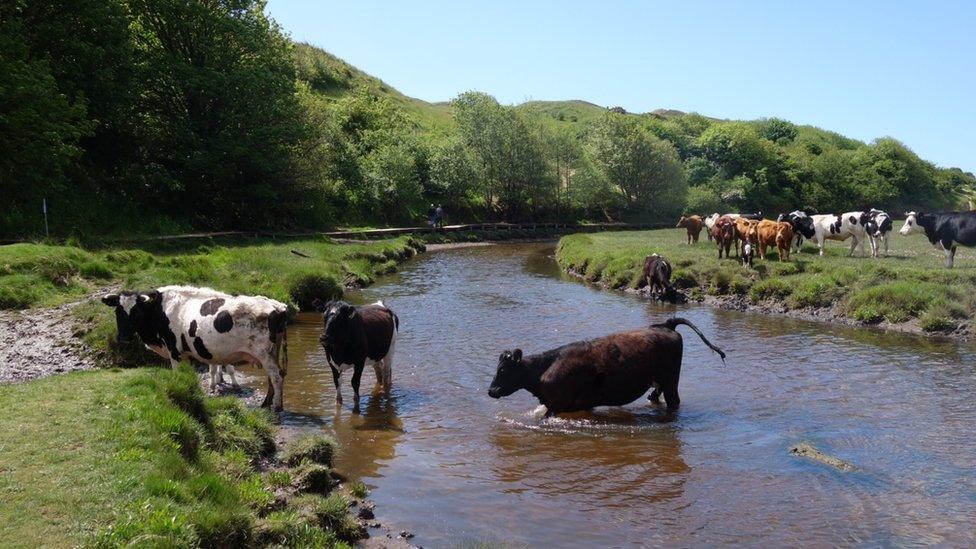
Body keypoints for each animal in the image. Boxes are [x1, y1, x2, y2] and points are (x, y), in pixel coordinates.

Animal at [101, 284, 288, 408]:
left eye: (137, 311)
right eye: (117, 311)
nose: (123, 336)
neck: (160, 309)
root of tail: (277, 306)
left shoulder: (175, 352)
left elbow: (179, 375)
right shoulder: (184, 353)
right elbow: (189, 376)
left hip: (264, 353)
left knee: (276, 376)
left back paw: (276, 407)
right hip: (273, 351)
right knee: (272, 377)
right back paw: (266, 403)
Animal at [486, 316, 724, 416]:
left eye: (502, 370)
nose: (491, 391)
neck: (544, 368)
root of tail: (666, 325)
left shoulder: (557, 406)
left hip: (671, 380)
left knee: (673, 401)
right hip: (659, 380)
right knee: (656, 395)